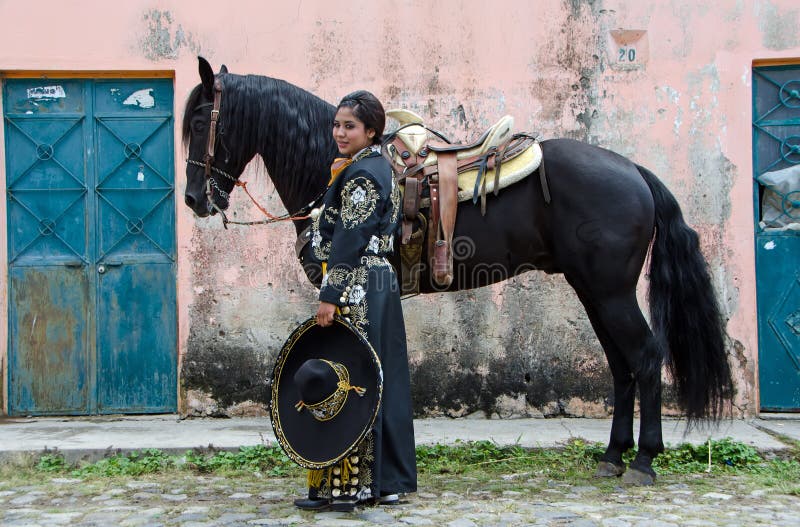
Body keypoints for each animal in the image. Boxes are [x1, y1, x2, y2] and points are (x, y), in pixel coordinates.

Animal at [184, 56, 736, 482]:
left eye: (199, 123)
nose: (194, 200)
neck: (335, 166)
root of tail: (634, 171)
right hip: (593, 290)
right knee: (622, 366)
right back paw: (613, 456)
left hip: (611, 291)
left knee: (645, 358)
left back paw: (643, 462)